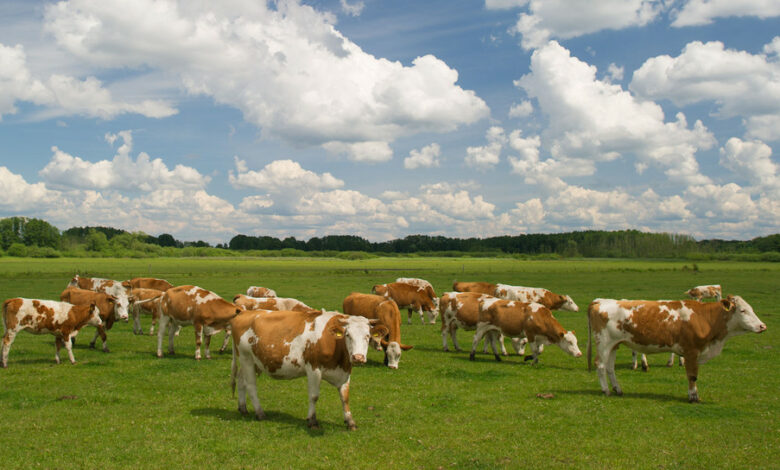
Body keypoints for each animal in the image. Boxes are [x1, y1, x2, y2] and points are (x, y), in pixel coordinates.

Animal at [232, 308, 390, 430]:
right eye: (348, 335)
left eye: (368, 336)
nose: (358, 357)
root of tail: (245, 312)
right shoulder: (314, 369)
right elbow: (314, 396)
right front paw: (312, 421)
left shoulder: (345, 372)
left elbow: (345, 397)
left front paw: (350, 422)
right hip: (246, 358)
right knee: (251, 386)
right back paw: (260, 413)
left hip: (254, 362)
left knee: (240, 381)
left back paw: (243, 408)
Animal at [588, 298, 764, 400]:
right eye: (743, 310)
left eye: (751, 309)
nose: (763, 326)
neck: (704, 318)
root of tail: (599, 302)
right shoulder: (691, 351)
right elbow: (692, 376)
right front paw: (693, 396)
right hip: (603, 343)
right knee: (600, 365)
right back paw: (606, 390)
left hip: (614, 345)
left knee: (610, 367)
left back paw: (617, 389)